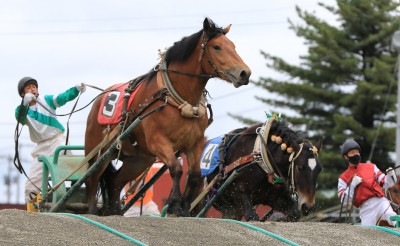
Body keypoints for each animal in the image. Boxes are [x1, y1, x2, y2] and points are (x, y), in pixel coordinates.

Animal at [85, 17, 252, 215]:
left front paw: (185, 207)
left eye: (233, 46)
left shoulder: (195, 142)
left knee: (116, 181)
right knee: (92, 180)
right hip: (99, 153)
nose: (245, 73)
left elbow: (194, 175)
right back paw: (92, 211)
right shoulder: (158, 142)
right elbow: (177, 169)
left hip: (139, 159)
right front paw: (175, 204)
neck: (176, 98)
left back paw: (114, 211)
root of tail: (99, 99)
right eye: (217, 47)